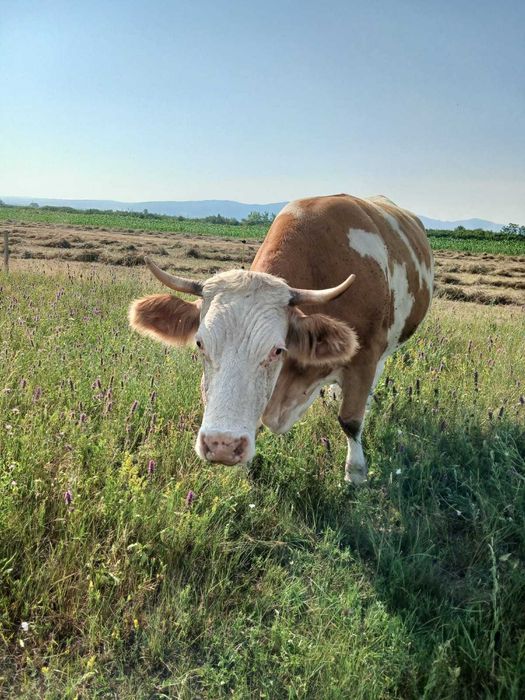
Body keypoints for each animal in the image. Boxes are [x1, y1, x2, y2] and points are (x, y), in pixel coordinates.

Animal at [129, 194, 433, 483]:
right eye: (200, 343)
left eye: (277, 350)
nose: (222, 445)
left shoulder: (365, 358)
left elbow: (351, 421)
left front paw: (356, 473)